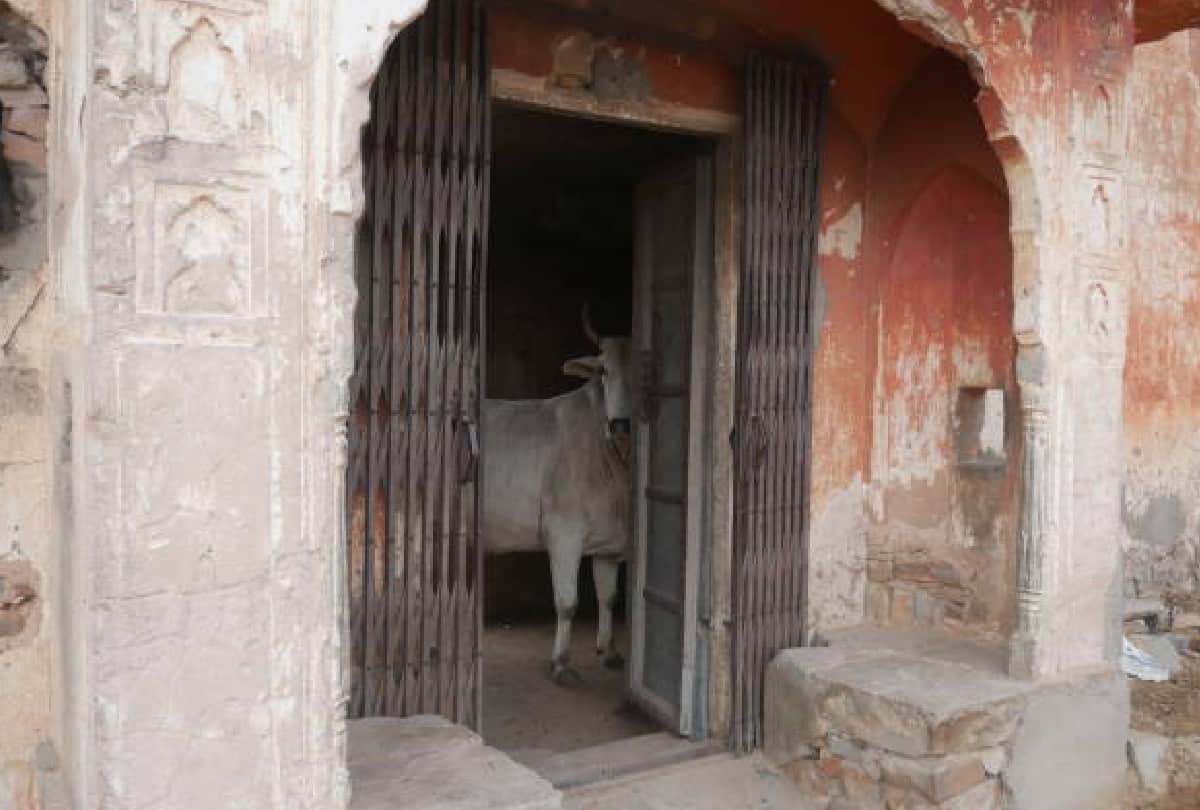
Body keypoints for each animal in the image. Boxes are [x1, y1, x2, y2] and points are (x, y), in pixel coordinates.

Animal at [483, 308, 633, 685]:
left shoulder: (608, 539)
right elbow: (567, 602)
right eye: (604, 371)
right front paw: (562, 662)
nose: (620, 425)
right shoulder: (564, 530)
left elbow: (608, 596)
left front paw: (609, 650)